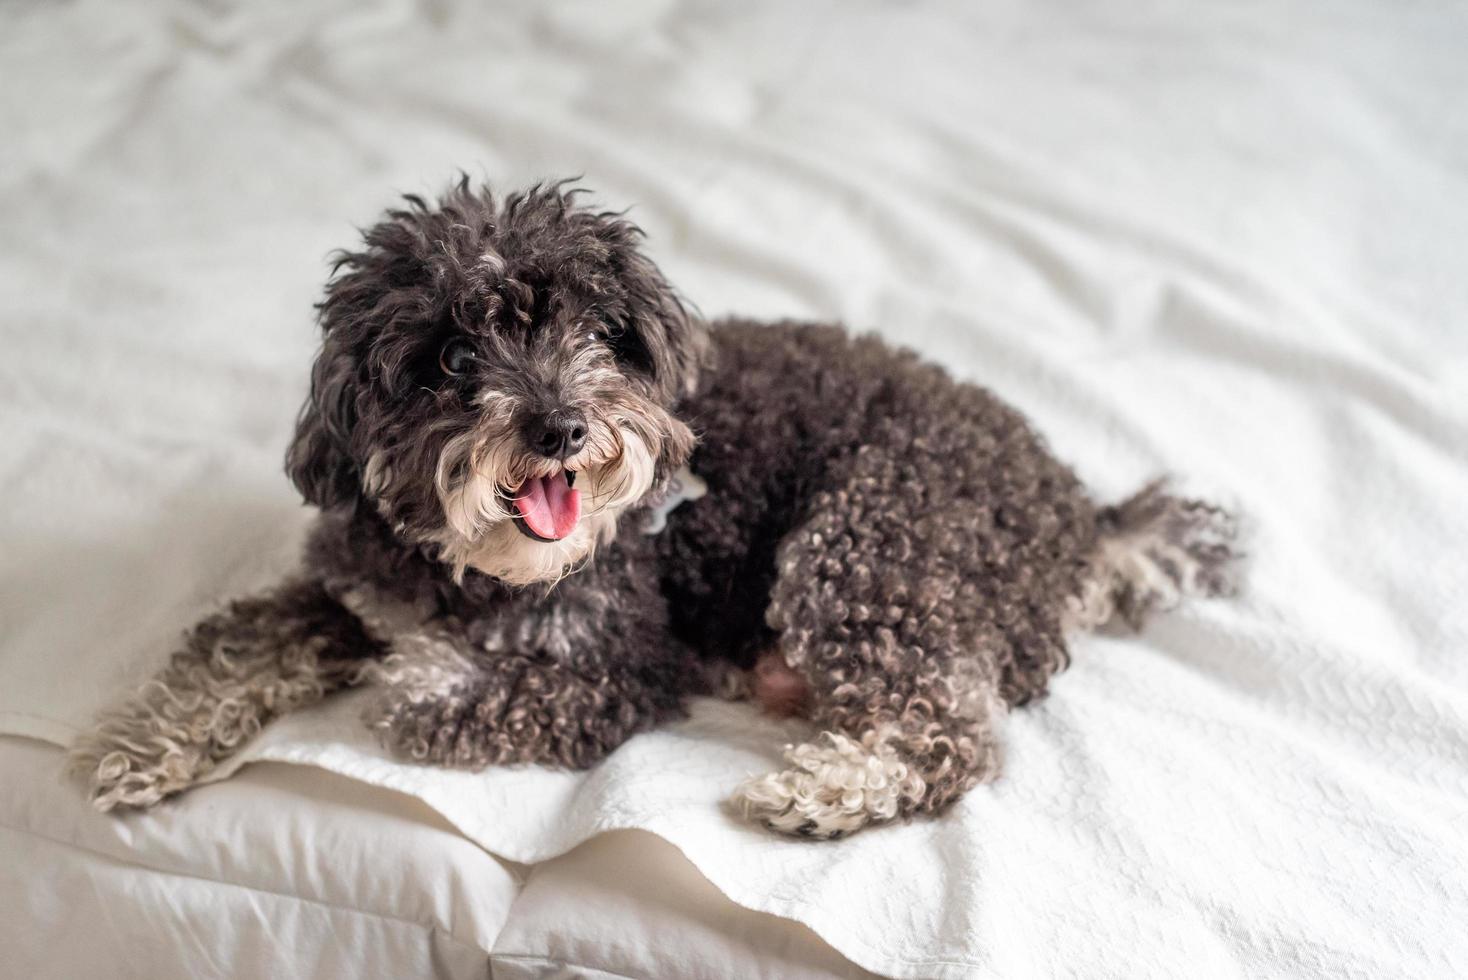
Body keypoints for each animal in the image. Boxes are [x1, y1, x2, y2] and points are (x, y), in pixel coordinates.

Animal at [68, 179, 1238, 839]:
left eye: (595, 331)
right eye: (450, 357)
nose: (557, 425)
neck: (477, 570)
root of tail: (1080, 517)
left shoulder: (620, 665)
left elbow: (436, 693)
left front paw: (421, 671)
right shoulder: (345, 586)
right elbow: (236, 641)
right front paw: (133, 742)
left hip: (870, 540)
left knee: (950, 733)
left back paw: (823, 791)